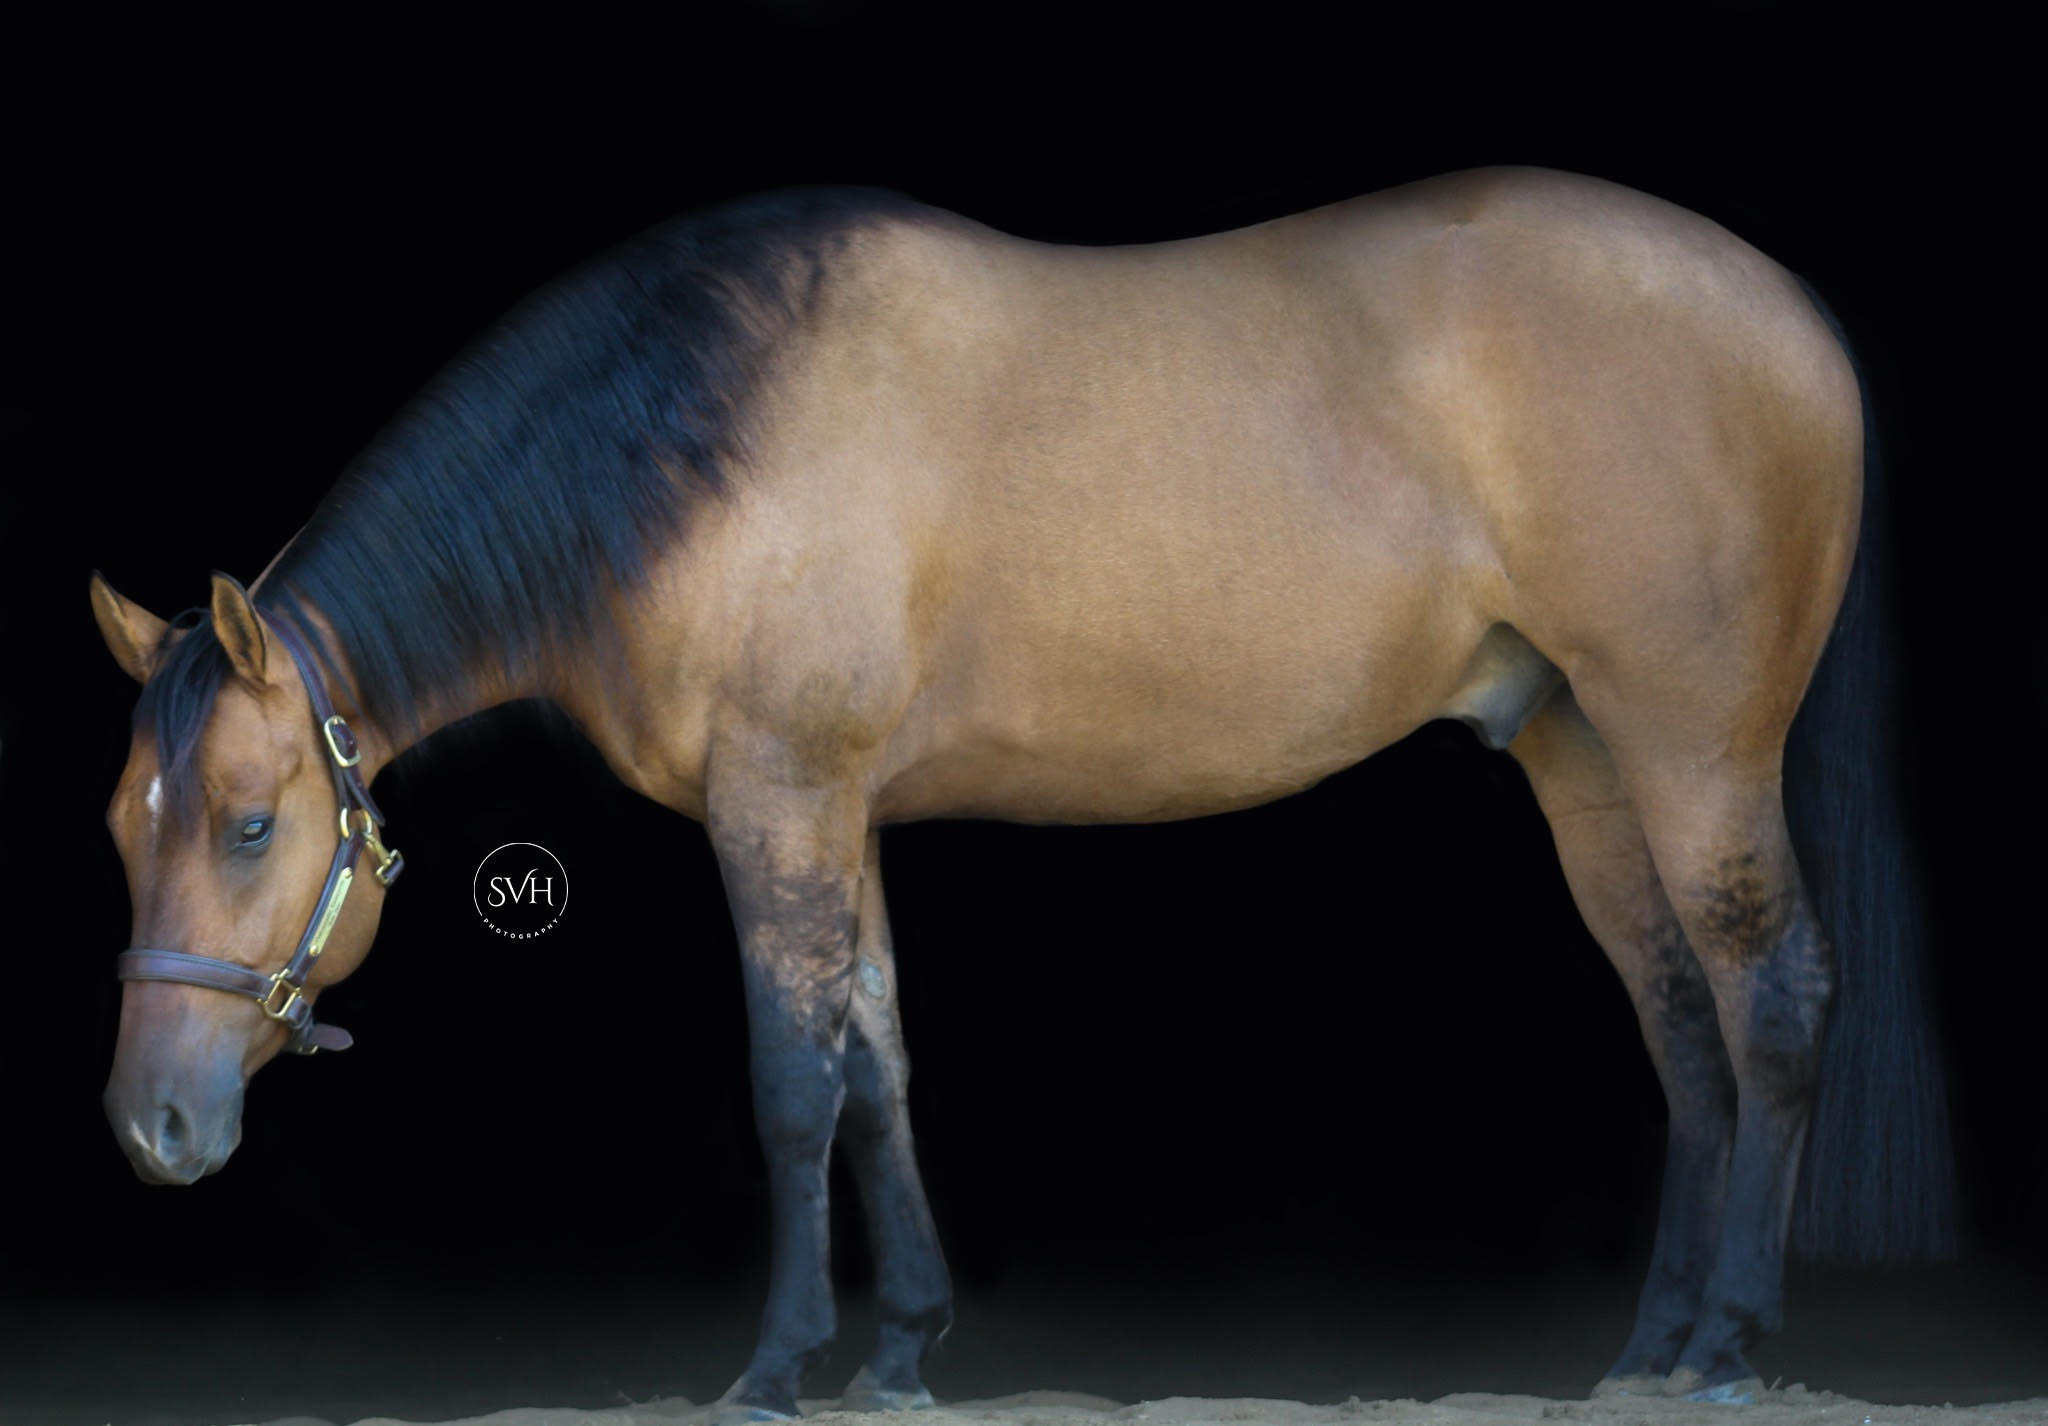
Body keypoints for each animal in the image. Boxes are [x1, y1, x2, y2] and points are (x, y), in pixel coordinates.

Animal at [92, 167, 1954, 1417]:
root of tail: (1788, 310)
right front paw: (903, 1344)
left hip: (1692, 743)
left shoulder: (779, 796)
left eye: (250, 822)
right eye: (124, 828)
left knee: (1769, 995)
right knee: (1679, 1018)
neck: (695, 441)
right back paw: (1652, 1344)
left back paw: (1731, 1339)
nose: (150, 1128)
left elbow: (794, 1084)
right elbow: (879, 1064)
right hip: (1579, 749)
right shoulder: (837, 812)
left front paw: (780, 1363)